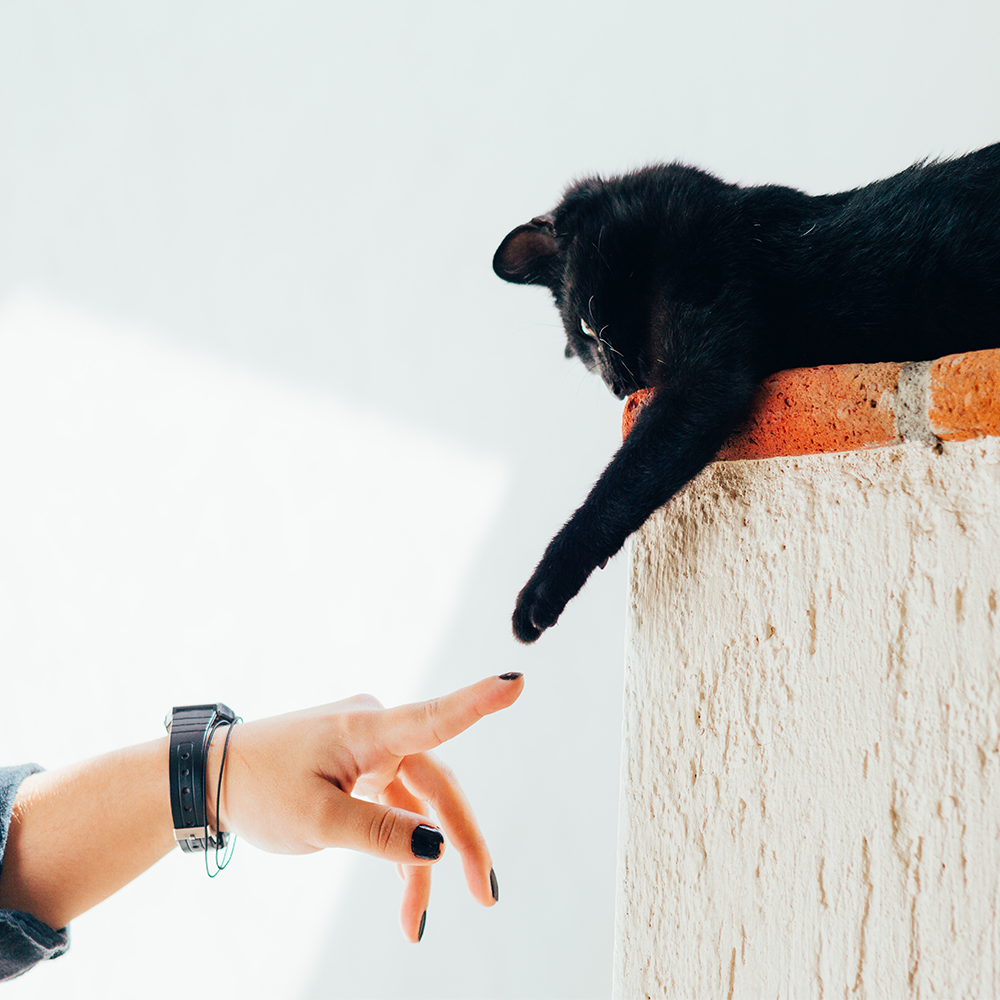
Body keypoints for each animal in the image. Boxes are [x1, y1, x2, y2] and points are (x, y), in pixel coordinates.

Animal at [492, 145, 1000, 644]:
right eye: (580, 348)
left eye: (587, 327)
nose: (618, 389)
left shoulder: (704, 377)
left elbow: (620, 484)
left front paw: (539, 592)